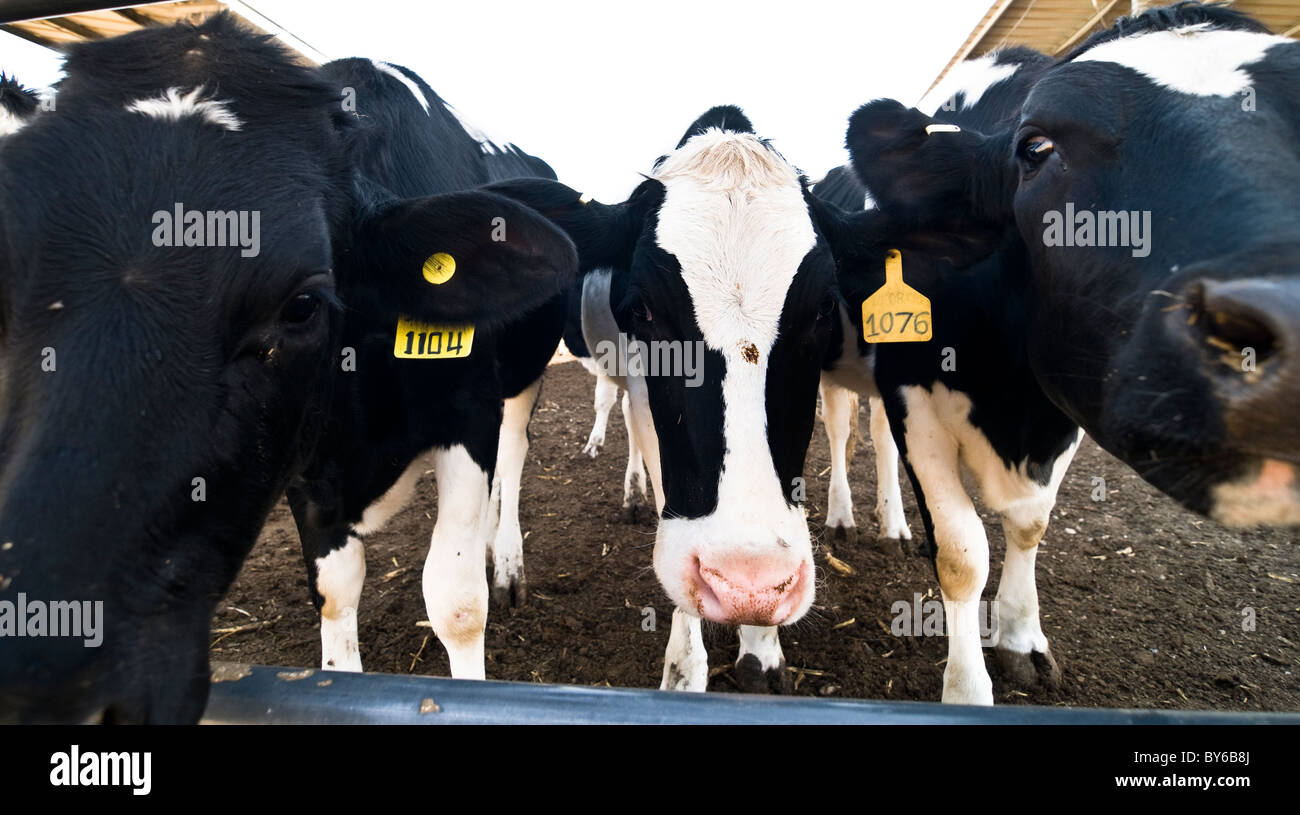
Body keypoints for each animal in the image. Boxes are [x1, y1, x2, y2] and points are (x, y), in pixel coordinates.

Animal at [0, 14, 577, 723]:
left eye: (302, 304)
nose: (42, 690)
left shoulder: (466, 414)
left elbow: (456, 601)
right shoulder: (307, 461)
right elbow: (335, 592)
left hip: (525, 369)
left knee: (516, 448)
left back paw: (508, 556)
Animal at [812, 1, 1300, 704]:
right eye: (1035, 149)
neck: (1012, 403)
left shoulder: (1062, 413)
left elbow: (1029, 525)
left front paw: (1022, 638)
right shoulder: (917, 400)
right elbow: (962, 552)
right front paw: (968, 690)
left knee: (875, 439)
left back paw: (894, 524)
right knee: (842, 431)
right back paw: (844, 517)